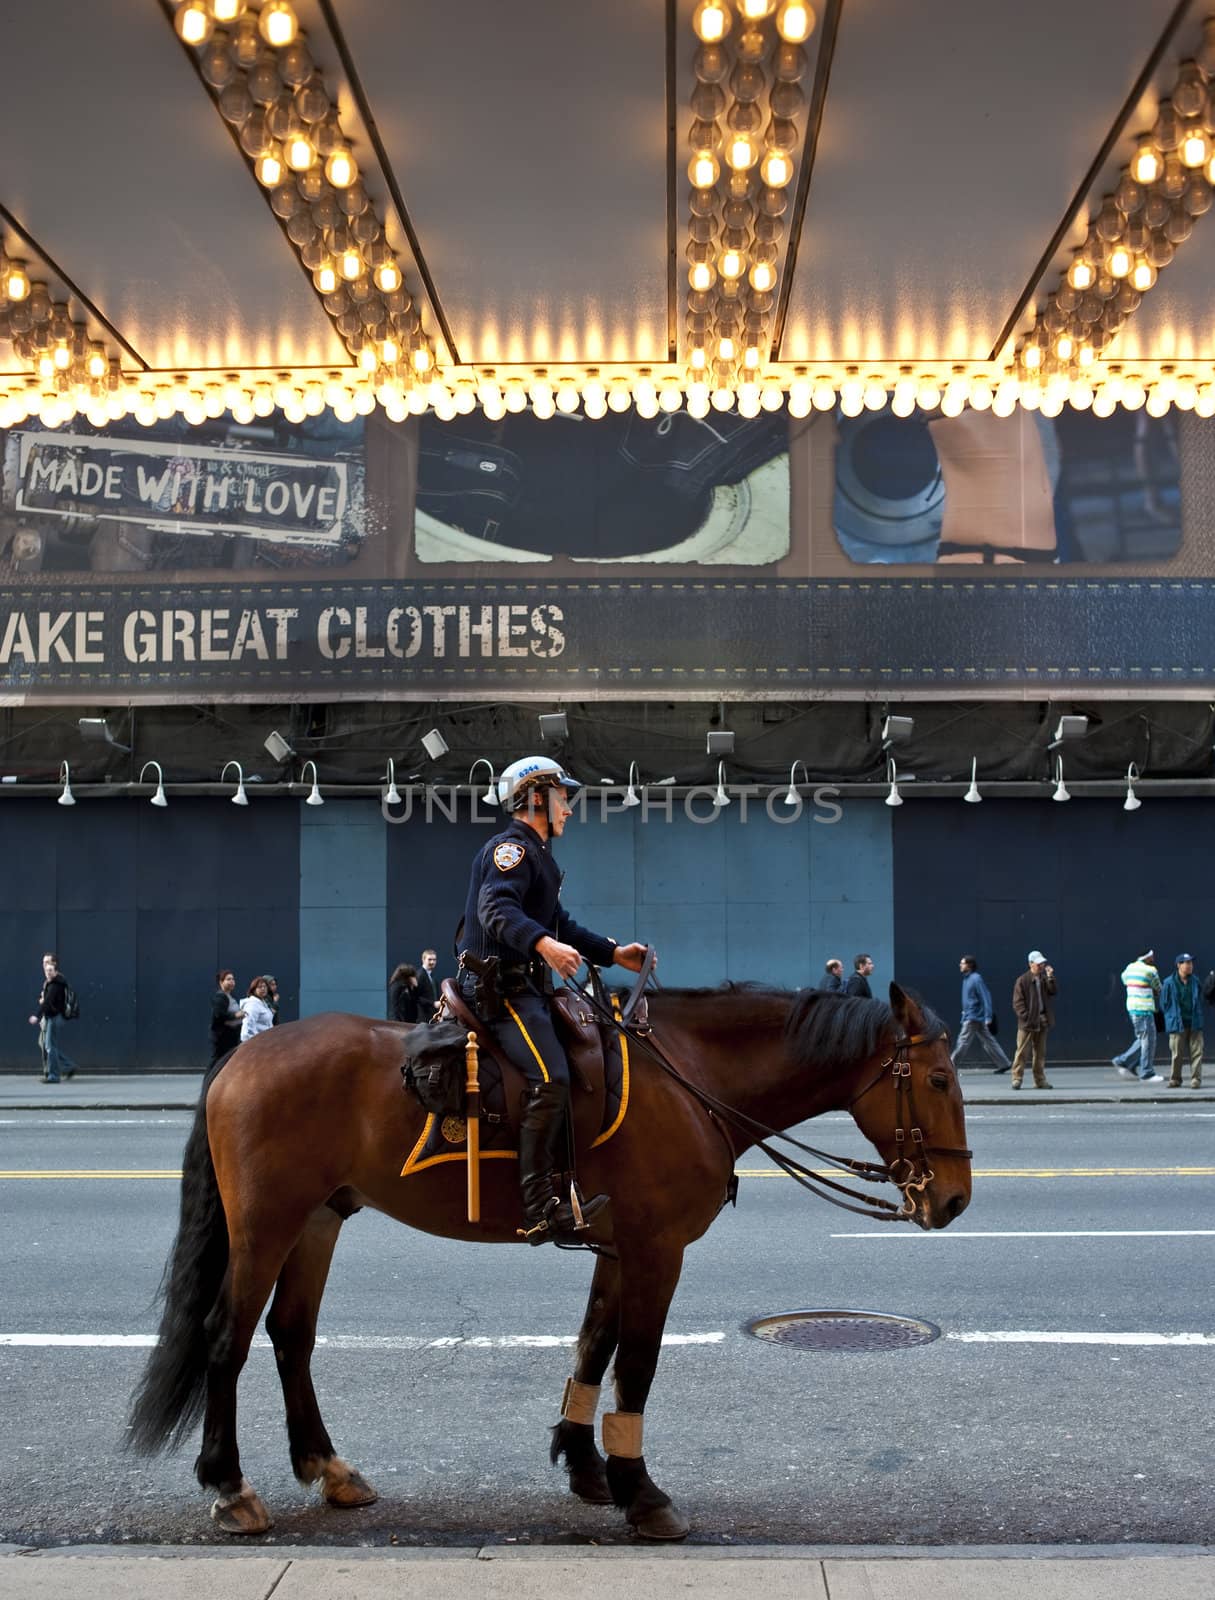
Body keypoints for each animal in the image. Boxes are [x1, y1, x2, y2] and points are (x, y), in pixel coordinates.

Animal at [130, 972, 966, 1536]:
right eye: (936, 1077)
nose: (954, 1200)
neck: (689, 1077)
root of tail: (242, 1055)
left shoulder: (619, 1245)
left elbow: (594, 1345)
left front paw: (587, 1463)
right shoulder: (657, 1249)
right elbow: (637, 1363)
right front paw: (640, 1491)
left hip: (317, 1220)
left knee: (290, 1338)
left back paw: (327, 1468)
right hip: (266, 1223)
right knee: (225, 1339)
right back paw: (230, 1485)